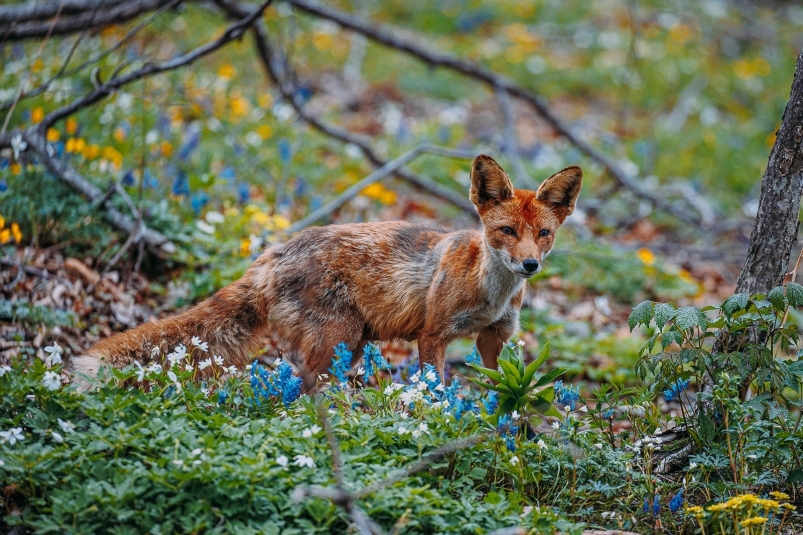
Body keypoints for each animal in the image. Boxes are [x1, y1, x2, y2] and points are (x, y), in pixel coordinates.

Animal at [72, 155, 580, 390]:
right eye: (506, 231)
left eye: (544, 234)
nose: (530, 265)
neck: (490, 291)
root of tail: (272, 253)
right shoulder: (433, 334)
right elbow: (434, 385)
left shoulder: (493, 339)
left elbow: (500, 383)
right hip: (339, 337)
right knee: (302, 389)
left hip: (349, 346)